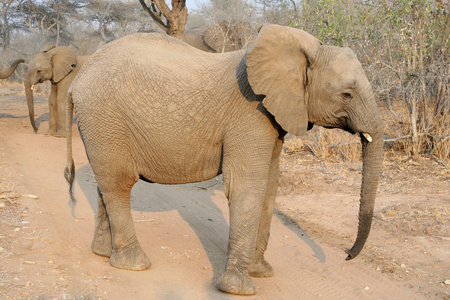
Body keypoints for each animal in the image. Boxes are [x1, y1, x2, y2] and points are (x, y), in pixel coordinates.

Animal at [65, 24, 384, 296]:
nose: (347, 255)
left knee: (105, 182)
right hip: (104, 116)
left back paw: (103, 254)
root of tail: (77, 81)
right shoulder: (250, 113)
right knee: (119, 183)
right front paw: (238, 290)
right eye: (347, 94)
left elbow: (269, 189)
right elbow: (246, 188)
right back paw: (134, 264)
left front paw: (261, 272)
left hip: (100, 124)